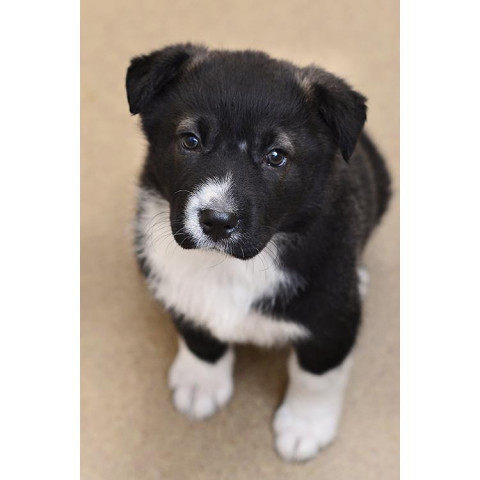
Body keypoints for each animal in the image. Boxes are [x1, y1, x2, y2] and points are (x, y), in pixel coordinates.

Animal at [124, 44, 390, 462]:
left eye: (276, 156)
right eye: (191, 140)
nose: (217, 221)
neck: (229, 265)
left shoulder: (331, 319)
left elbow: (316, 376)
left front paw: (304, 426)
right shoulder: (176, 287)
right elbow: (199, 336)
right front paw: (201, 383)